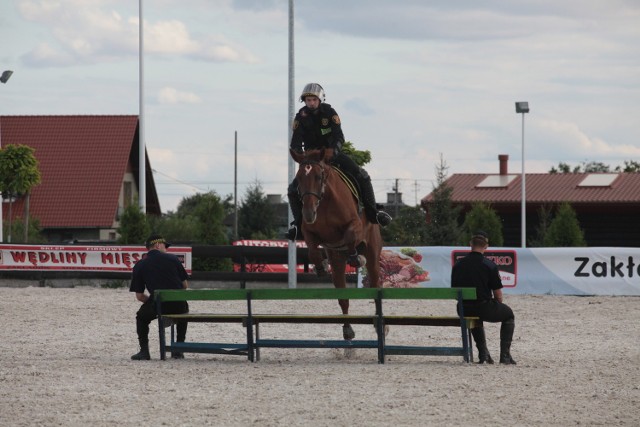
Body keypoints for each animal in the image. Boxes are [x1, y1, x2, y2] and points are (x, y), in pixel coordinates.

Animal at [288, 150, 380, 342]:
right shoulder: (310, 233)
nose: (308, 213)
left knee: (376, 285)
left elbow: (350, 235)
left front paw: (356, 258)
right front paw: (320, 266)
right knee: (342, 296)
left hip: (373, 253)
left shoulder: (354, 225)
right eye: (298, 178)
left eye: (318, 176)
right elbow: (313, 251)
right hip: (337, 262)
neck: (324, 202)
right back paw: (348, 330)